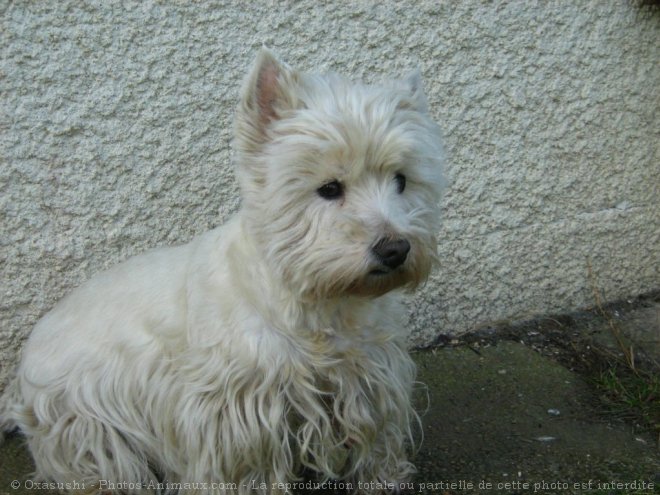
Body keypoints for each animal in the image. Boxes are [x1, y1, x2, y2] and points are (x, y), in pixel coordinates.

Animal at [0, 48, 446, 494]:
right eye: (329, 188)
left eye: (401, 180)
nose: (395, 249)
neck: (319, 302)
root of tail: (20, 376)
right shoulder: (238, 410)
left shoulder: (371, 376)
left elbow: (378, 439)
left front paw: (384, 479)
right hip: (83, 422)